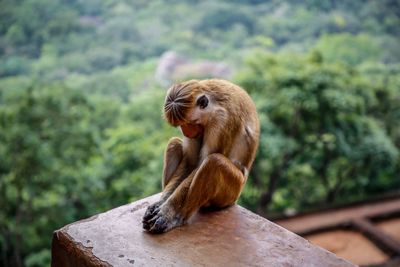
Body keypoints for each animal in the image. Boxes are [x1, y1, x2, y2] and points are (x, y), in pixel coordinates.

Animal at [143, 78, 260, 233]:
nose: (186, 132)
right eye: (181, 124)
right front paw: (161, 202)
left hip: (230, 194)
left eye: (190, 122)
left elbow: (200, 164)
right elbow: (190, 162)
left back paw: (179, 217)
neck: (214, 105)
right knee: (174, 143)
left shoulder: (222, 121)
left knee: (213, 162)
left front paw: (168, 211)